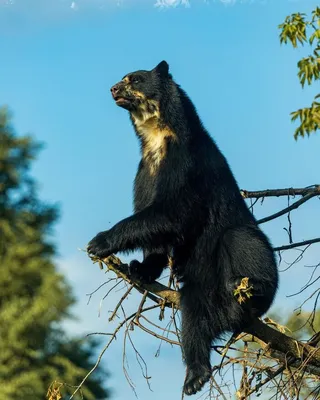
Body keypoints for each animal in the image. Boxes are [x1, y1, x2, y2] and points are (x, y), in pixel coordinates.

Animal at [87, 61, 278, 396]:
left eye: (135, 79)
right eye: (123, 78)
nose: (112, 88)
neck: (157, 136)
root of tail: (229, 311)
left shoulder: (185, 162)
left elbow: (172, 213)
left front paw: (100, 241)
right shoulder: (144, 171)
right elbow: (152, 221)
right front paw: (141, 267)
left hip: (232, 261)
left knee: (239, 240)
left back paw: (253, 289)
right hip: (203, 292)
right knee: (194, 322)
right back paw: (194, 377)